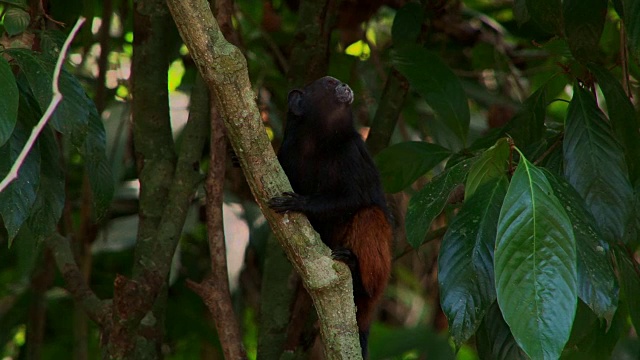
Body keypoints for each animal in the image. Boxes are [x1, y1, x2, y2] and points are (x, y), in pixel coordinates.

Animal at [268, 76, 392, 358]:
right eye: (329, 83)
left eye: (338, 83)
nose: (345, 86)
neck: (318, 140)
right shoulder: (288, 152)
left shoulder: (352, 150)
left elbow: (356, 198)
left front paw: (299, 203)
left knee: (371, 214)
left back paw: (358, 275)